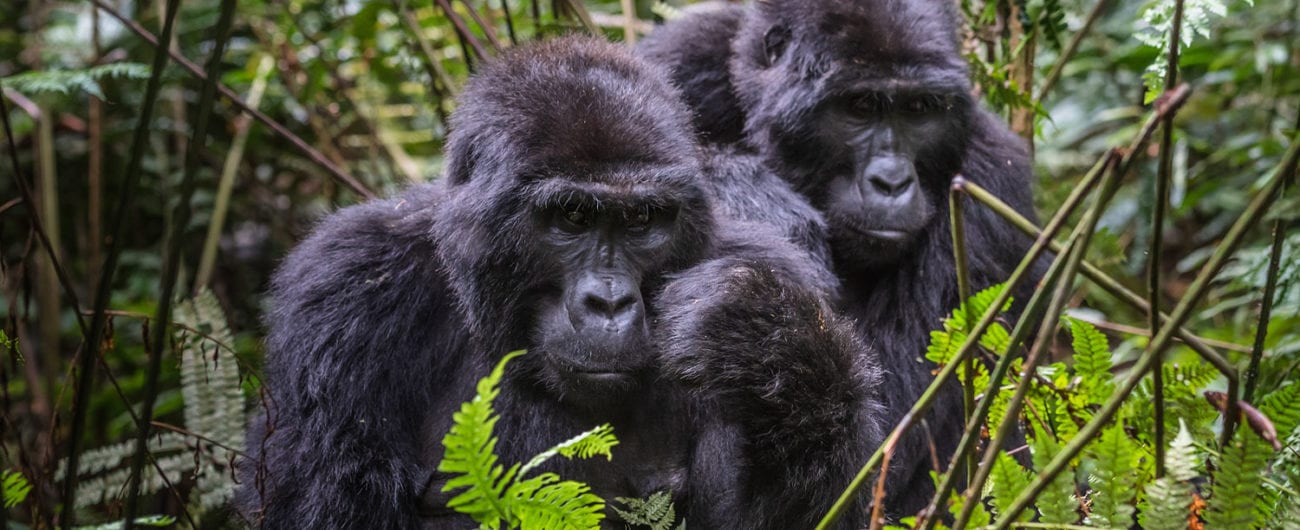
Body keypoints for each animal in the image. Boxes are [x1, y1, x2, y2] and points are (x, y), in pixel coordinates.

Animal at [233, 37, 883, 530]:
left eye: (642, 219)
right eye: (572, 216)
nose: (609, 302)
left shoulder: (779, 265)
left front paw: (765, 340)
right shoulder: (346, 289)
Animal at [639, 0, 1045, 514]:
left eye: (918, 110)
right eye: (860, 106)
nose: (892, 182)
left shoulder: (991, 184)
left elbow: (886, 445)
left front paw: (759, 332)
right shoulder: (676, 62)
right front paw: (748, 190)